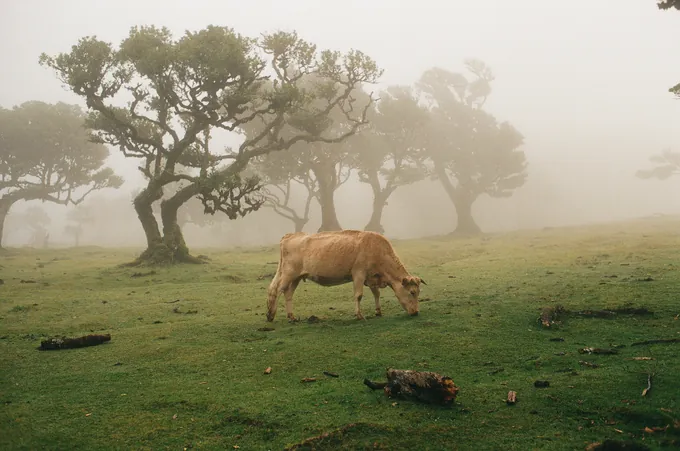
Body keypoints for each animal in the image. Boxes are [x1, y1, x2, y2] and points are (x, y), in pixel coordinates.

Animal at [266, 230, 426, 322]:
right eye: (412, 292)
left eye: (419, 292)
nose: (416, 312)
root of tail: (290, 235)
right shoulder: (359, 274)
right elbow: (359, 295)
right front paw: (359, 315)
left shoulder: (371, 277)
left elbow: (376, 294)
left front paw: (378, 311)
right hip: (288, 273)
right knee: (278, 290)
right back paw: (270, 315)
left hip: (296, 277)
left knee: (288, 293)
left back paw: (291, 316)